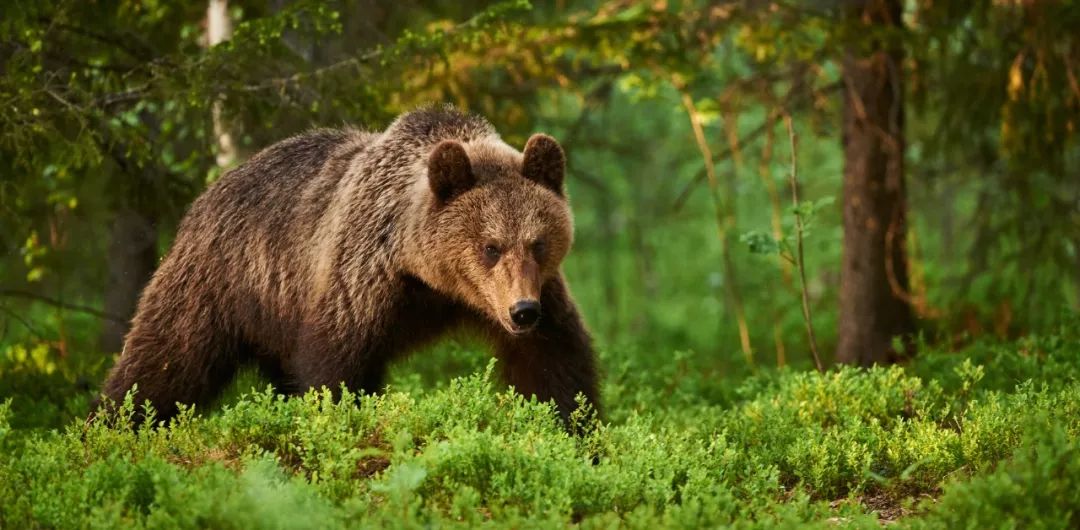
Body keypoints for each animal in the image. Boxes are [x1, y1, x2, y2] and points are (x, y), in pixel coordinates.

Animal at [99, 105, 600, 425]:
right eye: (490, 247)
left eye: (538, 243)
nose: (522, 312)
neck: (430, 279)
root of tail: (205, 194)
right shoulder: (360, 278)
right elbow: (335, 368)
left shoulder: (537, 293)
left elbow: (554, 361)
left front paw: (574, 430)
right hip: (222, 281)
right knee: (164, 362)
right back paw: (110, 428)